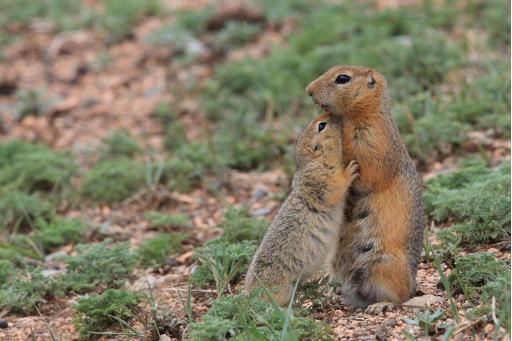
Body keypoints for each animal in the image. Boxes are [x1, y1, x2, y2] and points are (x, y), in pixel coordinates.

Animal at [245, 112, 358, 306]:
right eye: (321, 126)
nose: (333, 114)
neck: (312, 162)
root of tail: (245, 296)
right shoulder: (321, 179)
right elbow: (335, 186)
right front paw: (350, 170)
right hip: (282, 289)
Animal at [306, 64, 422, 314]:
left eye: (342, 78)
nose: (308, 90)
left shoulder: (372, 139)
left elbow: (368, 174)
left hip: (385, 264)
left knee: (401, 295)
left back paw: (379, 305)